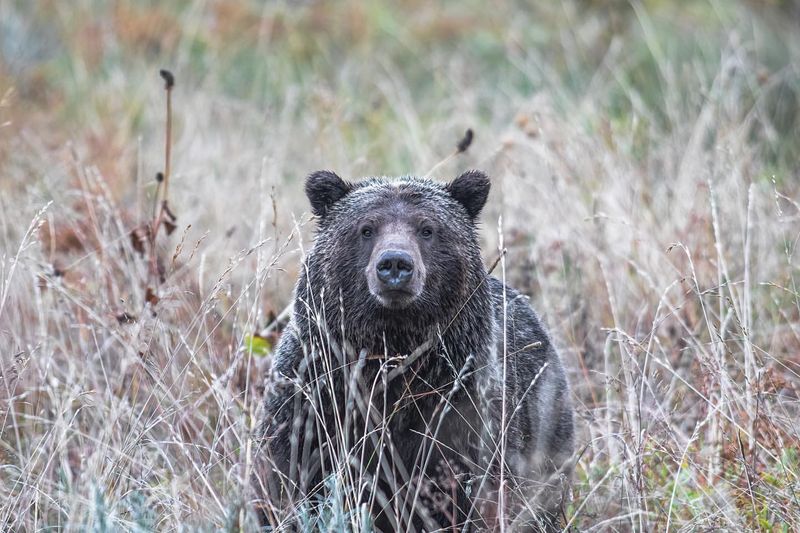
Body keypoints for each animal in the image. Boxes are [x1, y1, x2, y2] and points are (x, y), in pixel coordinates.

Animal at [253, 169, 572, 528]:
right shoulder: (312, 400)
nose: (395, 263)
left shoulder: (464, 407)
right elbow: (287, 479)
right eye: (366, 228)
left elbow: (482, 484)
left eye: (427, 228)